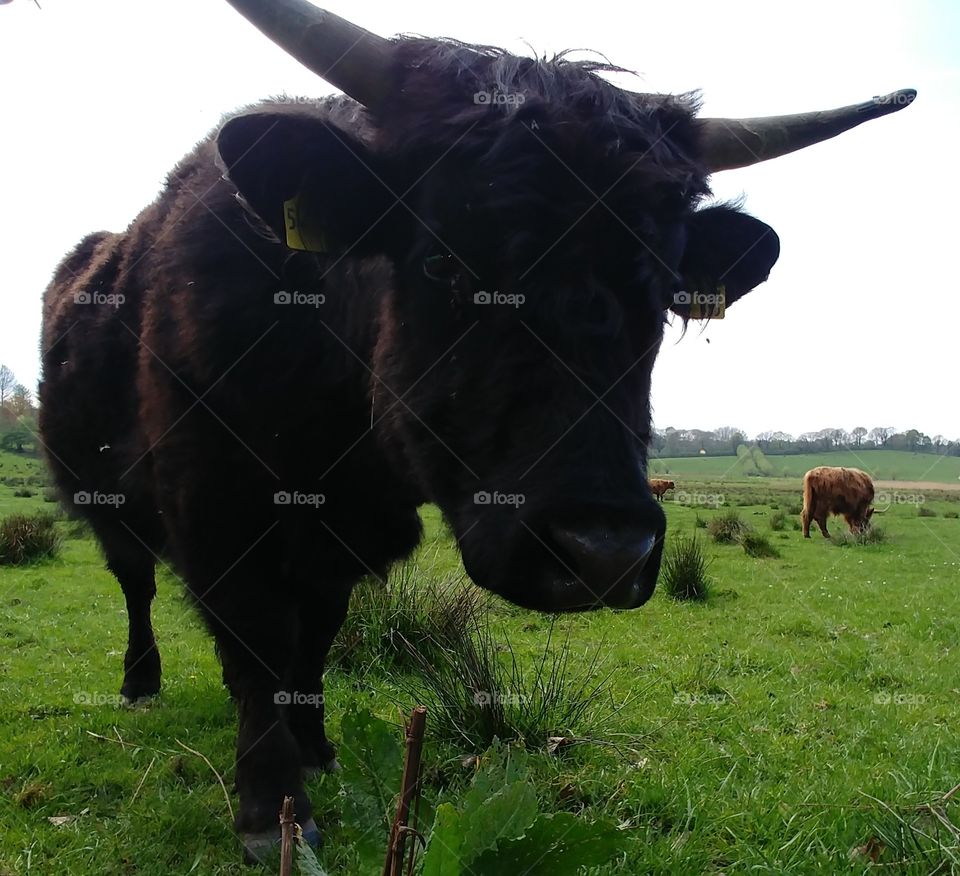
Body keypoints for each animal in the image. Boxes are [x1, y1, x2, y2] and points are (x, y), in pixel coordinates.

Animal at [37, 0, 915, 857]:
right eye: (444, 264)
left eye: (665, 294)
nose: (603, 555)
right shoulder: (216, 516)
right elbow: (255, 650)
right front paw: (271, 809)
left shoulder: (345, 544)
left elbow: (314, 640)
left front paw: (315, 745)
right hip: (105, 501)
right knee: (136, 585)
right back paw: (140, 684)